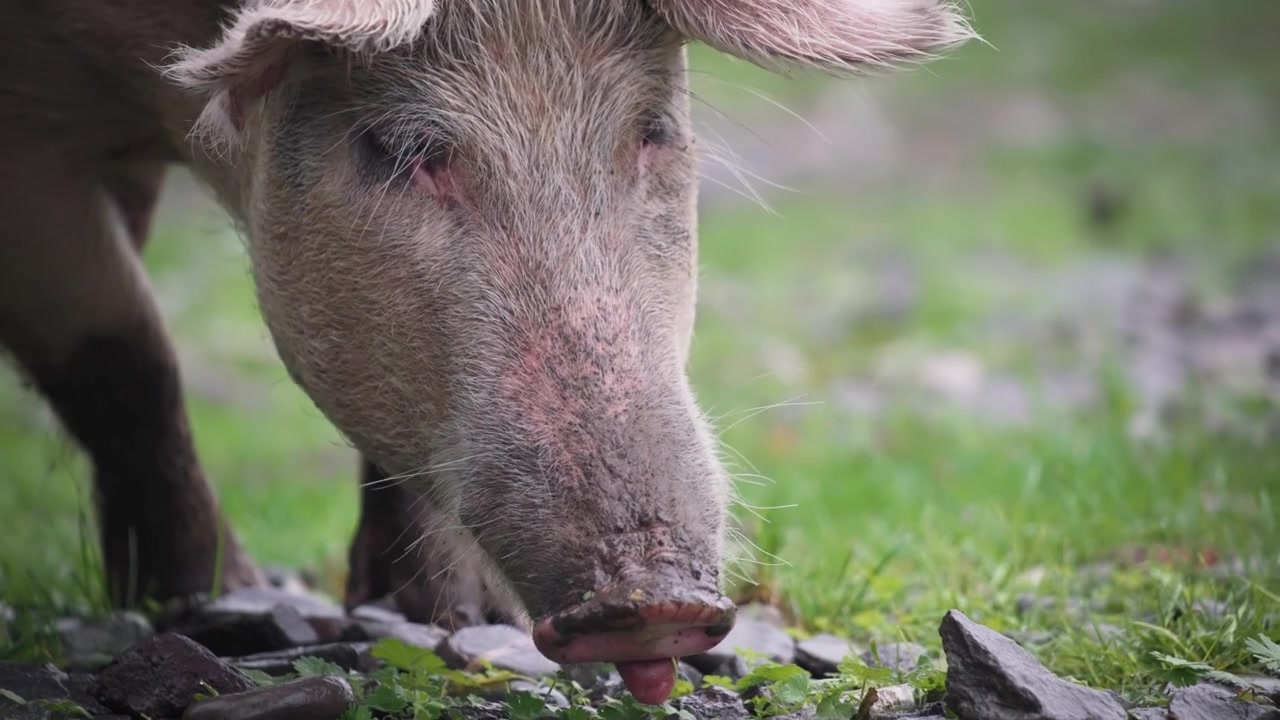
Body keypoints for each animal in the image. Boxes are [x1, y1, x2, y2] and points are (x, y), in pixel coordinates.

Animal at [0, 0, 974, 703]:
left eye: (652, 130)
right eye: (403, 148)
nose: (655, 601)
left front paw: (450, 614)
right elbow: (124, 353)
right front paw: (198, 597)